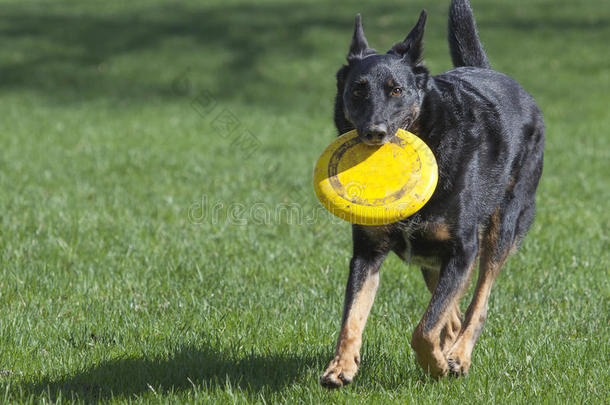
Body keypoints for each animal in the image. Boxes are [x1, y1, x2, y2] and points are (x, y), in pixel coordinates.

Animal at [318, 0, 540, 386]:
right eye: (358, 90)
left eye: (396, 90)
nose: (374, 131)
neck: (433, 137)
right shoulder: (367, 252)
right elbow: (352, 316)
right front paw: (341, 366)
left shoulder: (462, 250)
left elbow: (424, 329)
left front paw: (437, 363)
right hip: (430, 258)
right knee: (451, 314)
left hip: (503, 227)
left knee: (477, 303)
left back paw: (459, 356)